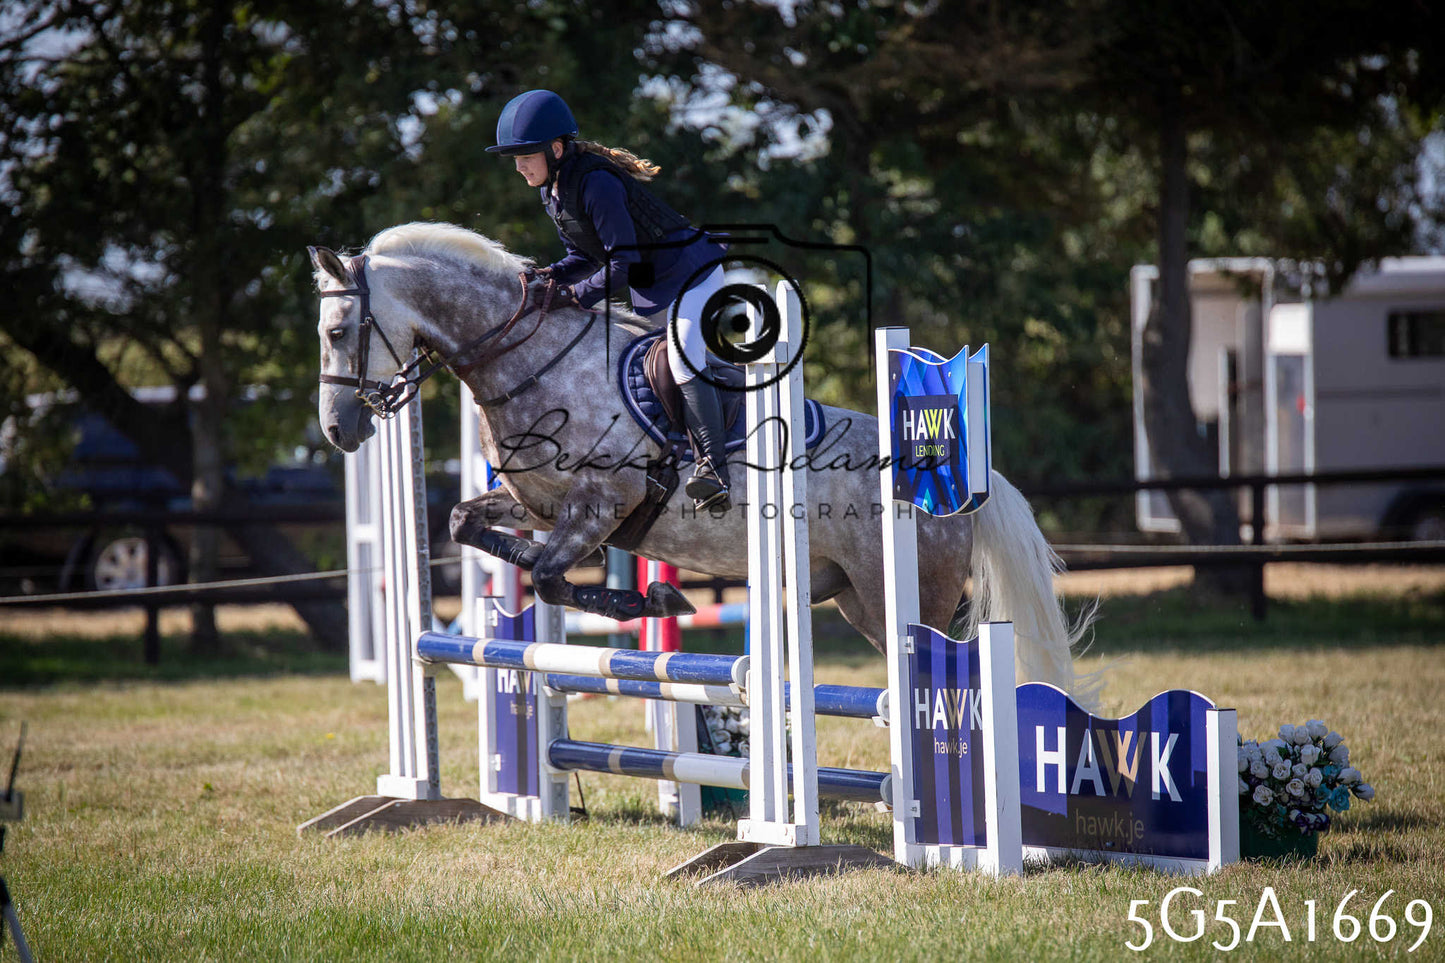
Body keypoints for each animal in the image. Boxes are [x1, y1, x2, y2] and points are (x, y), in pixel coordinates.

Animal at [311, 221, 1091, 693]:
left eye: (338, 329)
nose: (339, 430)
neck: (529, 361)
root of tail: (949, 477)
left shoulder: (597, 507)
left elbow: (551, 579)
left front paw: (648, 598)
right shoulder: (537, 505)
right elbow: (468, 527)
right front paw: (639, 595)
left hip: (906, 595)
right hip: (855, 599)